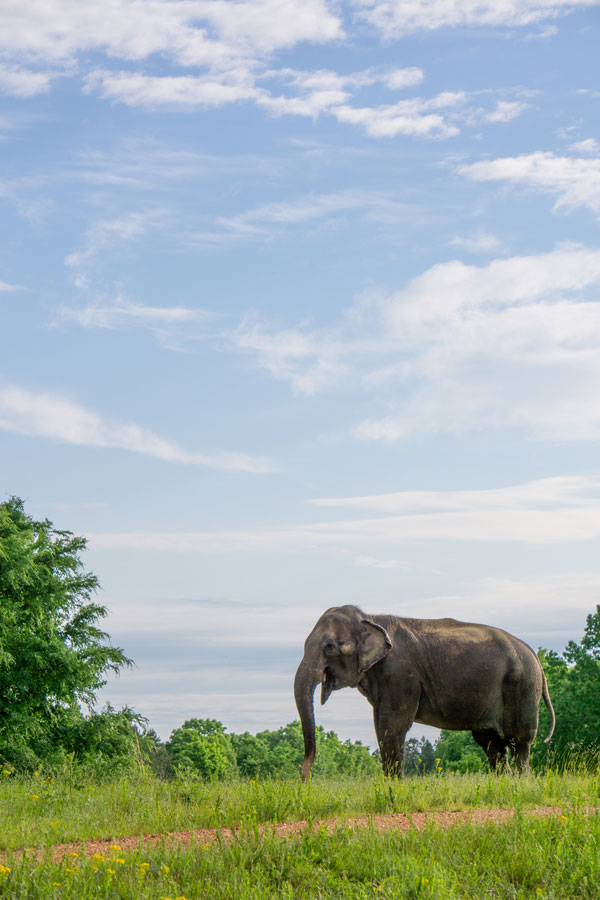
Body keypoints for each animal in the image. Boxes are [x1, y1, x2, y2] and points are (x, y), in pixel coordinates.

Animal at [294, 605, 555, 779]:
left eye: (329, 646)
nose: (304, 779)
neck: (370, 618)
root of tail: (535, 657)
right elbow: (381, 725)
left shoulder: (401, 674)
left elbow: (392, 725)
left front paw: (393, 787)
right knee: (492, 744)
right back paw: (502, 783)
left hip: (521, 686)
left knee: (518, 742)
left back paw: (521, 782)